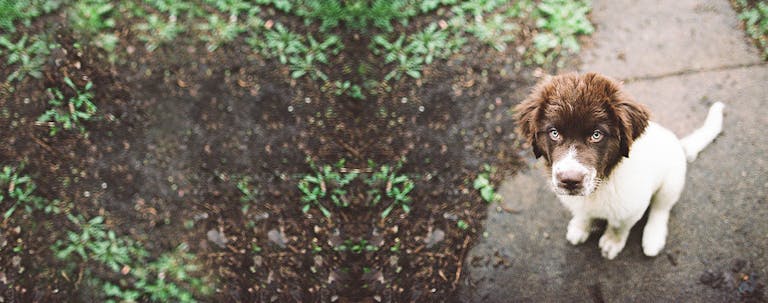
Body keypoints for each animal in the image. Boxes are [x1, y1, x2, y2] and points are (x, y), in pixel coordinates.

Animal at [512, 72, 724, 260]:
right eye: (554, 133)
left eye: (596, 135)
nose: (570, 181)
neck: (603, 181)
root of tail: (678, 144)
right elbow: (583, 213)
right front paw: (579, 227)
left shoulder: (633, 206)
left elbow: (618, 225)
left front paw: (611, 243)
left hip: (672, 181)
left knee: (661, 208)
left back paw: (653, 237)